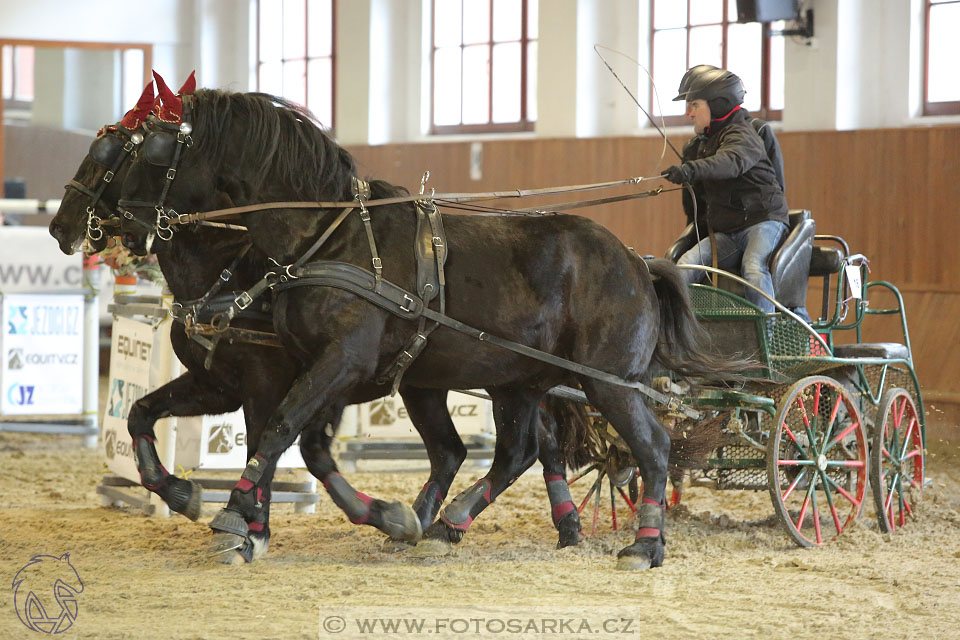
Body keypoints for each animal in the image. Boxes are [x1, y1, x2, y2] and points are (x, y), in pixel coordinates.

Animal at [118, 76, 736, 568]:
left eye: (148, 149)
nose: (115, 222)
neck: (326, 238)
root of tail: (635, 260)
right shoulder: (302, 371)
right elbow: (292, 438)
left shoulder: (335, 363)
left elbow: (278, 430)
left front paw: (235, 520)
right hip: (511, 381)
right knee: (510, 452)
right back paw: (443, 524)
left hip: (609, 383)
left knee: (651, 447)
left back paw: (645, 545)